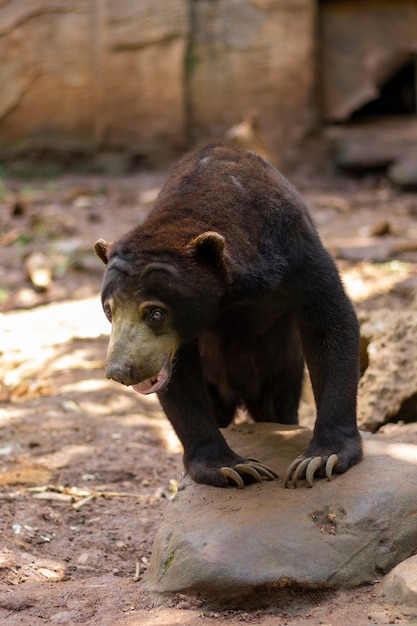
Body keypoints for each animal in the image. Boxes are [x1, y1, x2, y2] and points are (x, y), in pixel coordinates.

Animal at [94, 143, 360, 488]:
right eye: (108, 309)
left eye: (155, 313)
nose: (120, 370)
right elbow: (180, 377)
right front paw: (233, 467)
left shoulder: (297, 251)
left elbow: (329, 323)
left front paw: (320, 459)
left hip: (281, 369)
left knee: (279, 402)